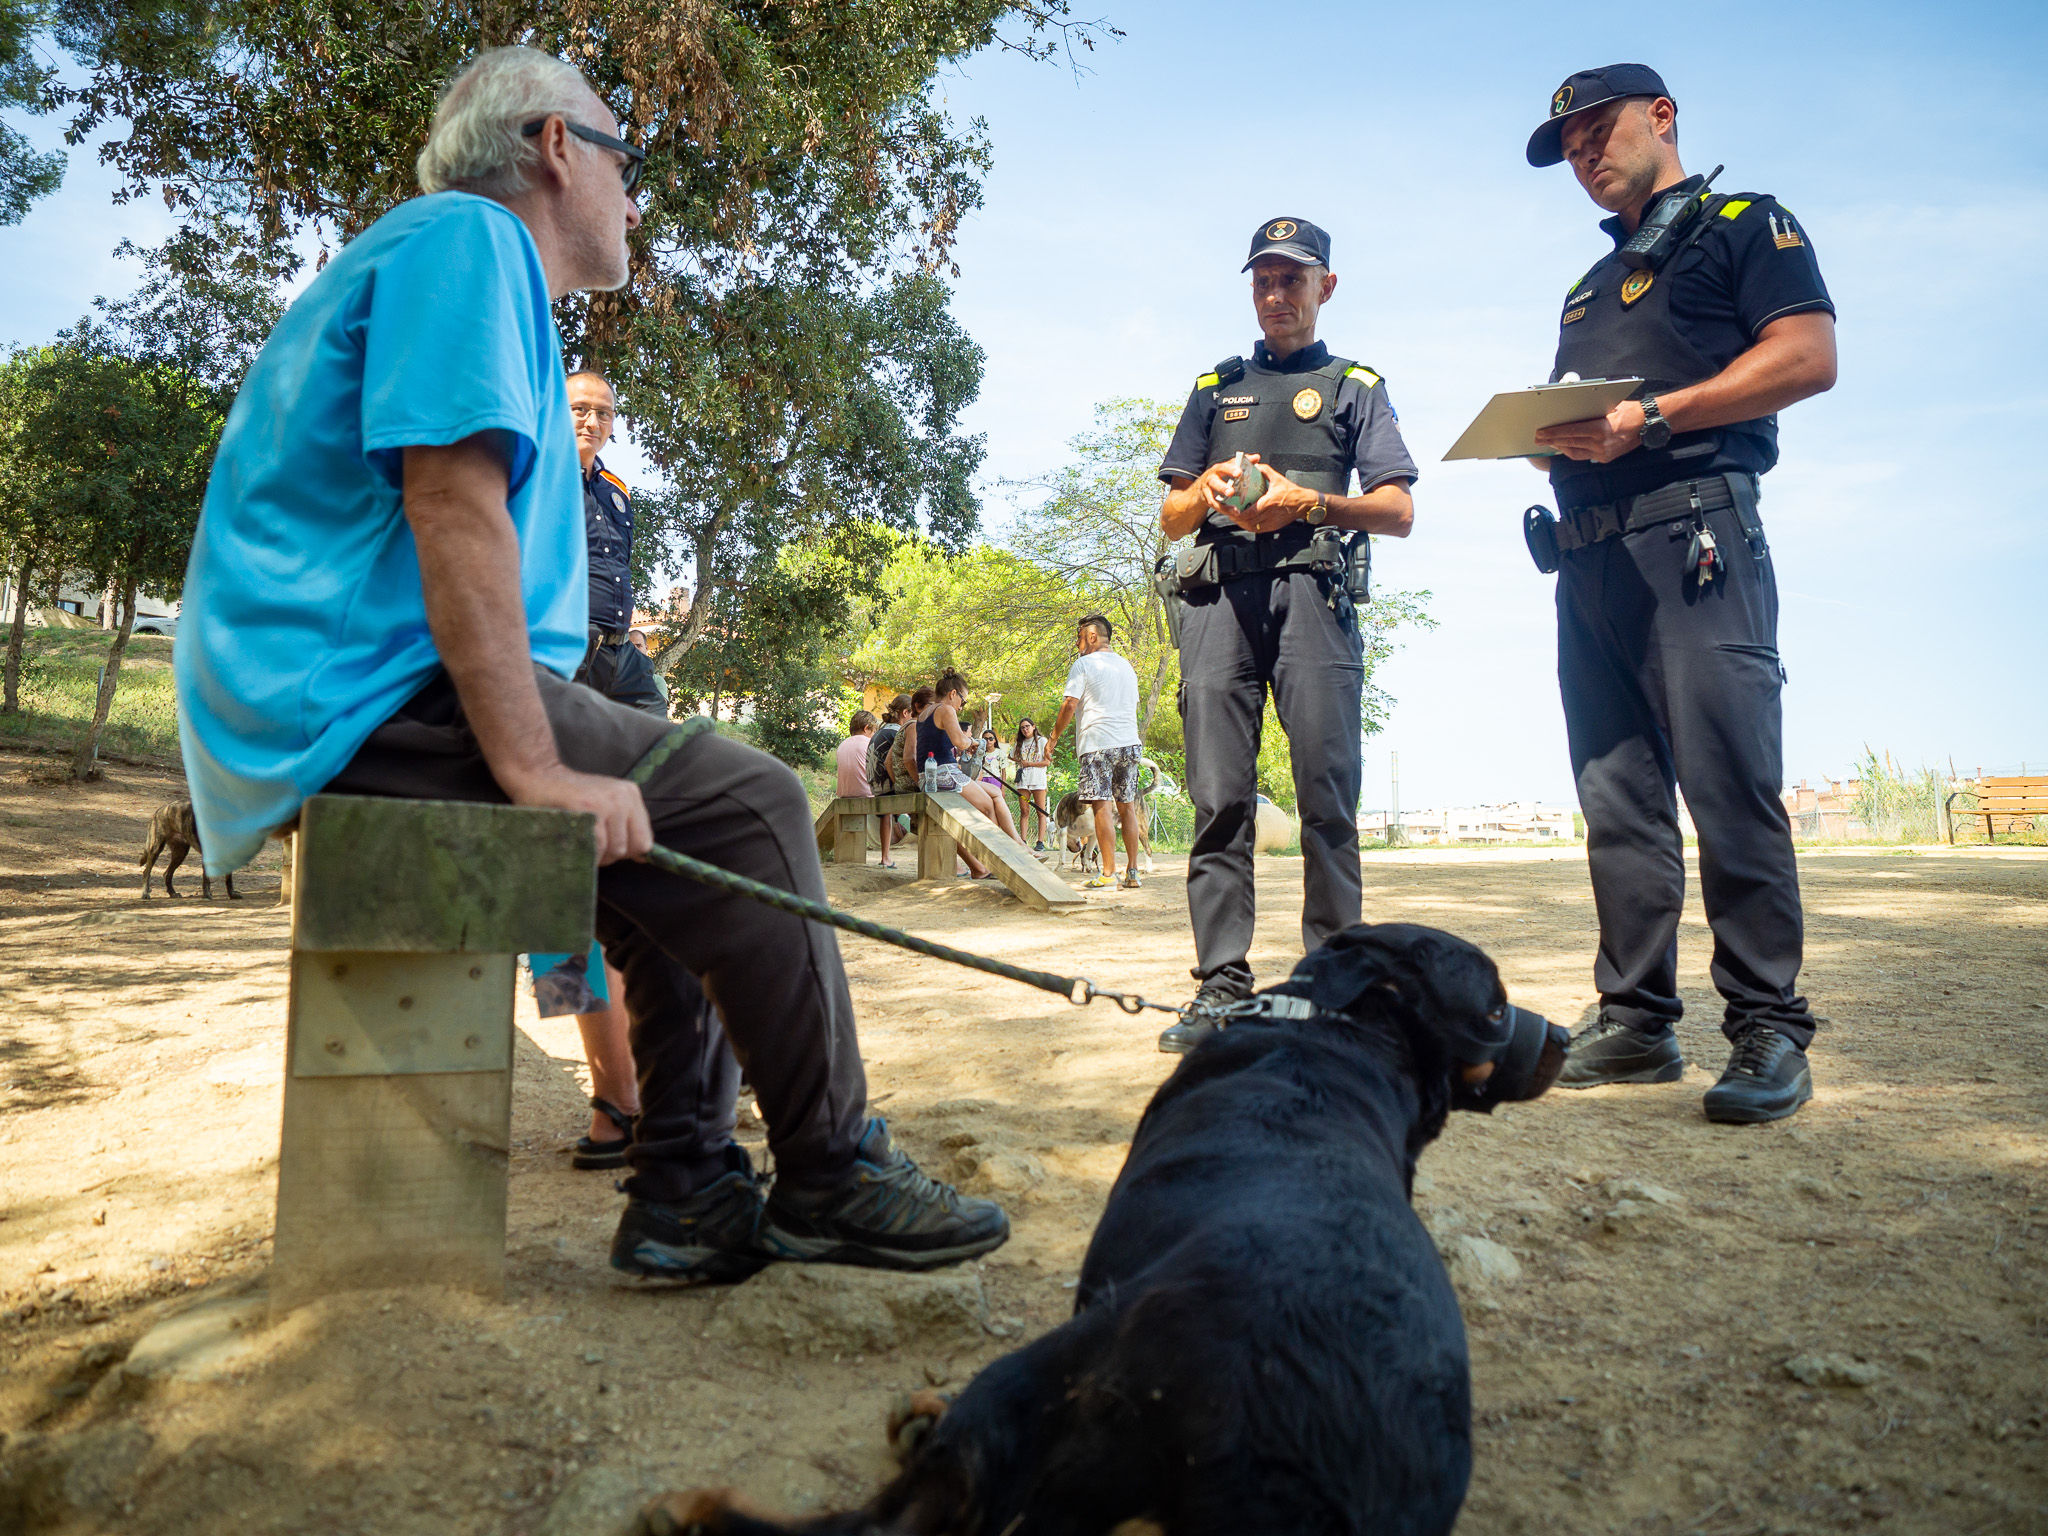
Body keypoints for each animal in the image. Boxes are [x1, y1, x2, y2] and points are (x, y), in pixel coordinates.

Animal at [649, 922, 1568, 1536]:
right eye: (1495, 1011)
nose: (1563, 1036)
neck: (1341, 1032)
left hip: (1064, 1360)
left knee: (903, 1516)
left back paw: (702, 1505)